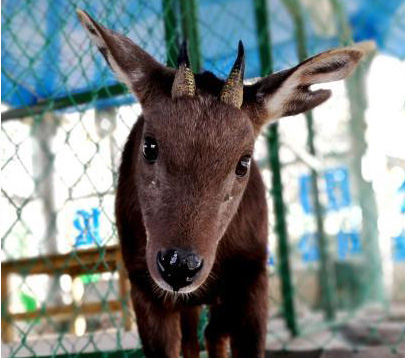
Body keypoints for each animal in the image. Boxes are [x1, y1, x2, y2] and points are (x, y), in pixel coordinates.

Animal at [77, 9, 370, 358]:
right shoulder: (144, 286)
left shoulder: (253, 277)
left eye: (243, 162)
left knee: (212, 334)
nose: (180, 265)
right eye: (149, 145)